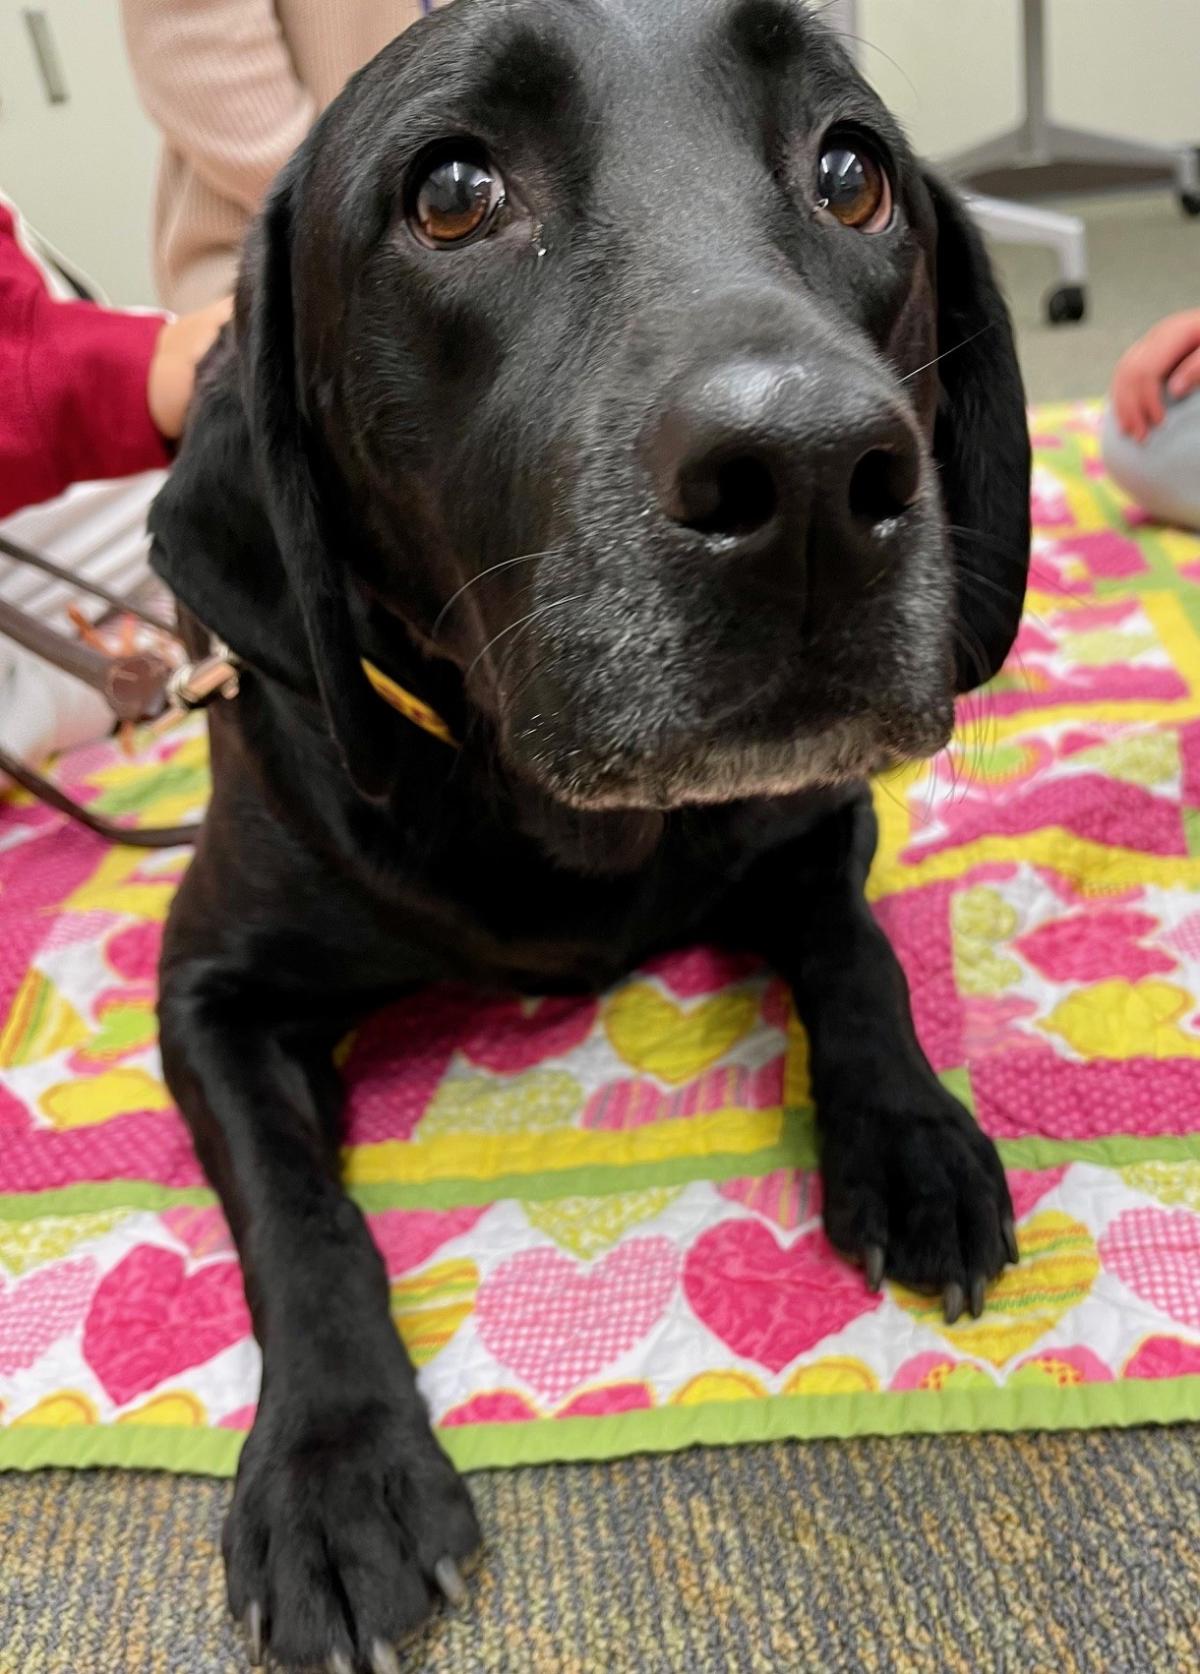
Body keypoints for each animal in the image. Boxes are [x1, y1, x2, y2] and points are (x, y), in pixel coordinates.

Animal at [149, 6, 1030, 1667]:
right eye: (449, 194)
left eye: (853, 171)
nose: (814, 477)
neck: (557, 819)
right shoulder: (204, 989)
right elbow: (298, 1211)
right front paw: (334, 1463)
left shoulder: (816, 827)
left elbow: (861, 961)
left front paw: (910, 1136)